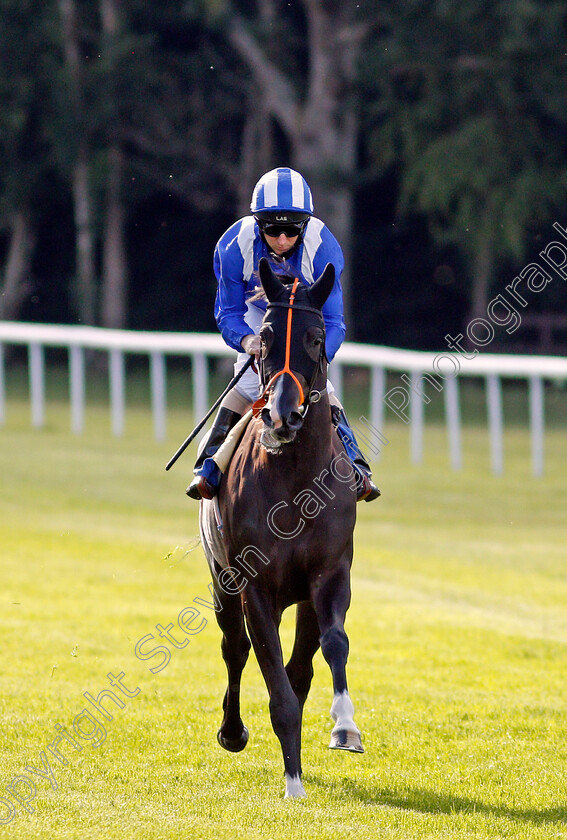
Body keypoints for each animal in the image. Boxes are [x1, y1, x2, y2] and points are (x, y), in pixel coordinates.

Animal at [200, 258, 364, 800]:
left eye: (316, 337)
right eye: (266, 337)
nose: (282, 417)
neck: (294, 481)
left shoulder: (330, 574)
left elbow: (332, 647)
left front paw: (345, 727)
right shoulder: (255, 588)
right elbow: (273, 679)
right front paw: (293, 784)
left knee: (302, 666)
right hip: (221, 581)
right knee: (235, 649)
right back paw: (232, 732)